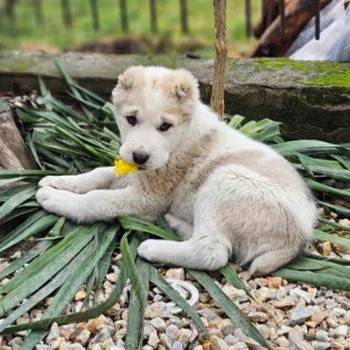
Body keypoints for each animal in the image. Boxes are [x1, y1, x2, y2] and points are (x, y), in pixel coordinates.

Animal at [36, 64, 318, 274]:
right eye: (131, 119)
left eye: (165, 126)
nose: (140, 156)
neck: (181, 139)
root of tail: (300, 236)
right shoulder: (136, 176)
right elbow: (100, 174)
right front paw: (58, 181)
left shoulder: (148, 198)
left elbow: (97, 199)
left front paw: (56, 198)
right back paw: (176, 223)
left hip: (225, 180)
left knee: (212, 252)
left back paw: (154, 246)